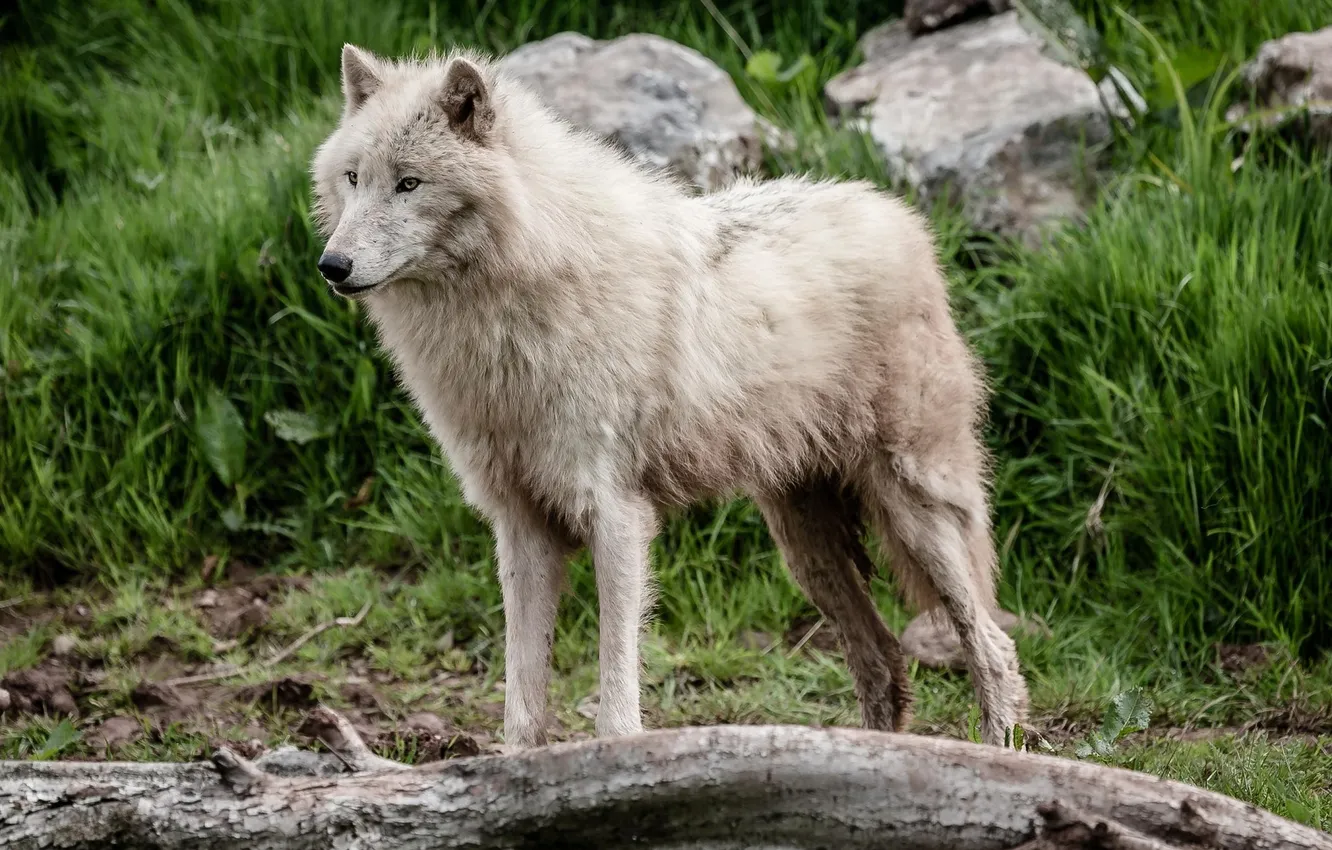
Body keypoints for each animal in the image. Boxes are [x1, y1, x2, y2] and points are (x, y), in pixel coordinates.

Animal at [310, 43, 1030, 748]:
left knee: (992, 645)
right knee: (881, 658)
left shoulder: (616, 515)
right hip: (805, 549)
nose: (331, 266)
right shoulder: (519, 526)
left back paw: (997, 753)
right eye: (354, 179)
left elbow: (615, 704)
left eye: (410, 183)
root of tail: (897, 214)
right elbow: (522, 712)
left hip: (915, 512)